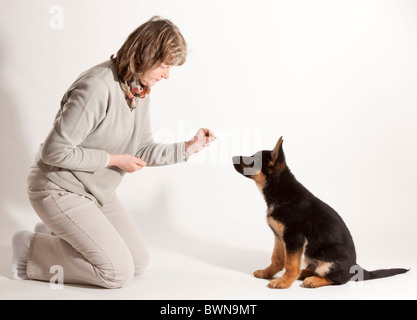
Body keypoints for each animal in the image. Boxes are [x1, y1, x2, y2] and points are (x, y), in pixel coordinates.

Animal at [232, 136, 408, 288]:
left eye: (252, 160)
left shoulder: (294, 238)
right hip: (310, 255)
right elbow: (277, 259)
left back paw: (313, 280)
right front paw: (267, 273)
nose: (233, 157)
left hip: (330, 258)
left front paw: (284, 282)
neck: (280, 190)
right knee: (316, 270)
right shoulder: (279, 236)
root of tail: (355, 267)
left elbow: (290, 263)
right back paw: (304, 273)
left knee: (337, 279)